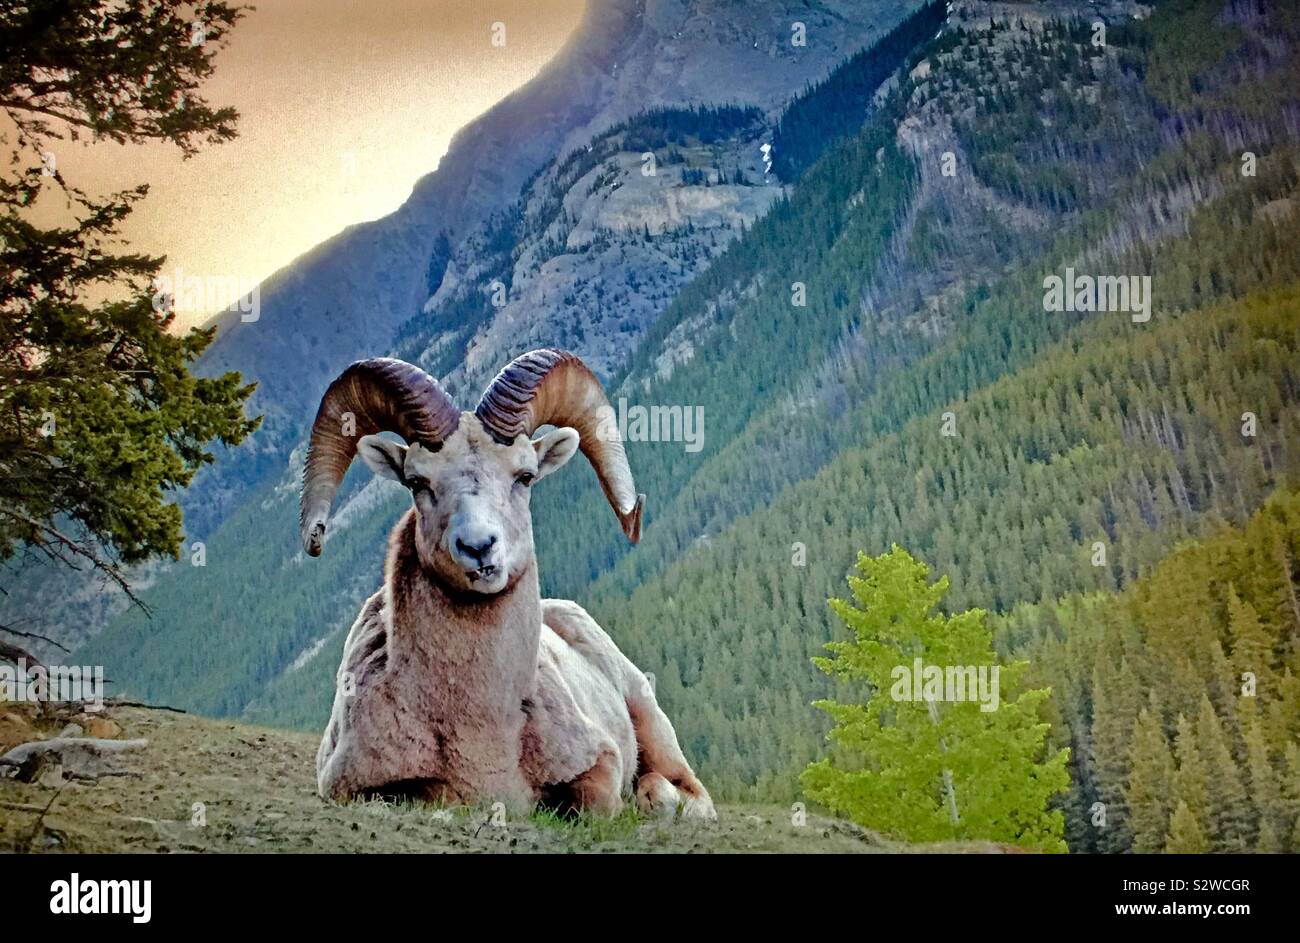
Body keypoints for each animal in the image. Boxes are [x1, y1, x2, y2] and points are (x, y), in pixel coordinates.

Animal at [300, 349, 714, 820]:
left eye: (525, 476)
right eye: (417, 482)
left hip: (651, 719)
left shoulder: (600, 765)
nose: (479, 548)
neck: (481, 729)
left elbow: (596, 803)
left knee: (680, 790)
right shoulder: (353, 787)